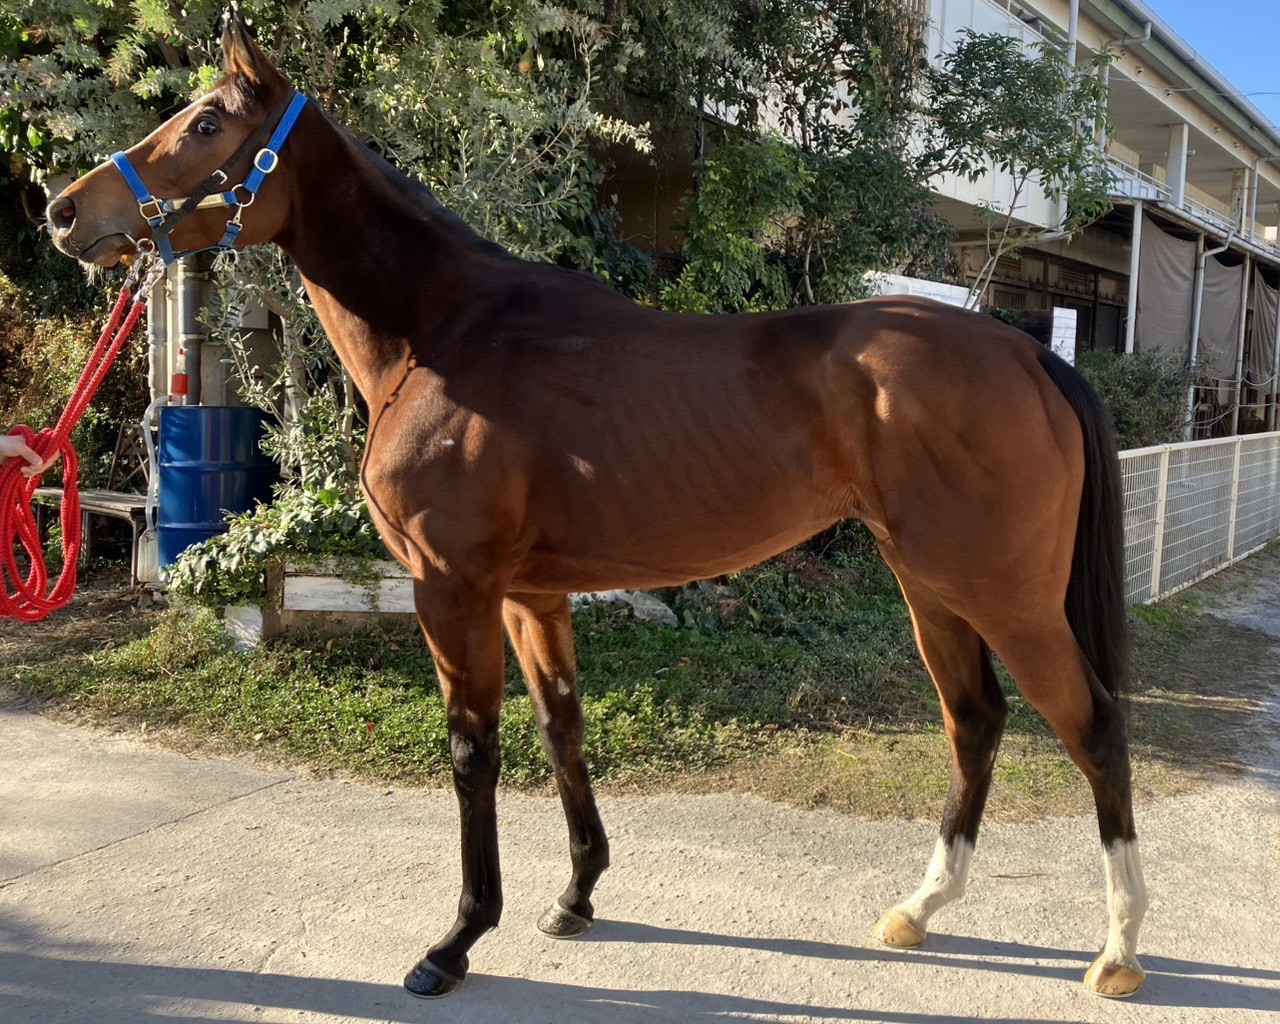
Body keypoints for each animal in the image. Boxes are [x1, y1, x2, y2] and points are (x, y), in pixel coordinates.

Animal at [46, 18, 1147, 1001]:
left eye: (203, 125)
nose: (62, 211)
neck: (446, 333)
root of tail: (1024, 353)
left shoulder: (451, 588)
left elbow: (473, 750)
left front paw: (455, 941)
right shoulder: (532, 595)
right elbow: (561, 729)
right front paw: (574, 896)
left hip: (1000, 591)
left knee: (1090, 723)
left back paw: (1118, 949)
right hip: (930, 584)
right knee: (975, 721)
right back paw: (921, 907)